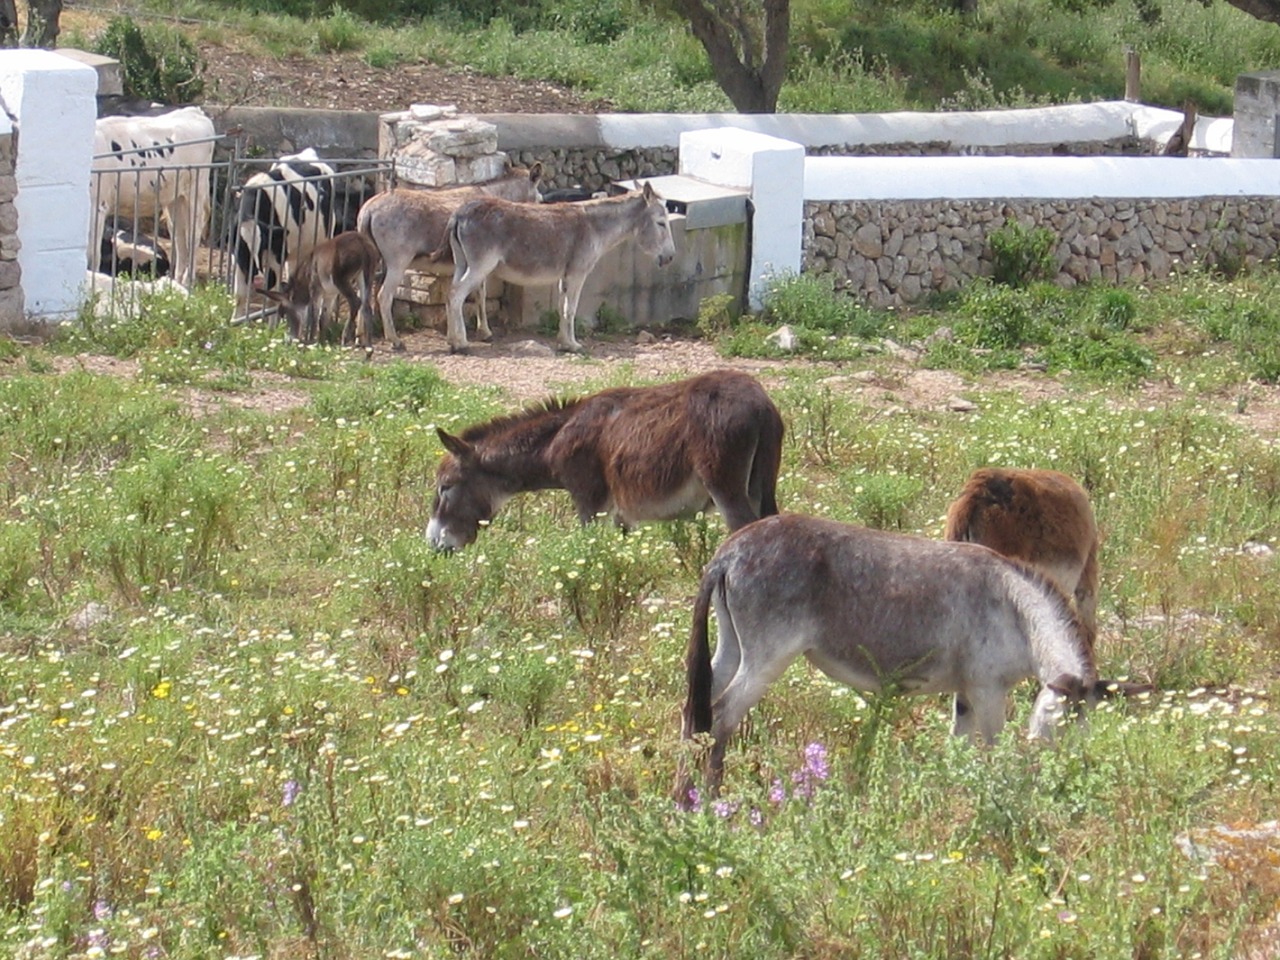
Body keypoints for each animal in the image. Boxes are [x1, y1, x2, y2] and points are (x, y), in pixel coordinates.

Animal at [90, 107, 215, 289]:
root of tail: (192, 111)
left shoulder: (98, 206)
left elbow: (93, 254)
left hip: (196, 190)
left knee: (194, 234)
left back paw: (187, 282)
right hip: (175, 198)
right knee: (179, 235)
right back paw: (176, 282)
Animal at [230, 148, 340, 323]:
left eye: (261, 246)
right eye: (241, 247)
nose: (258, 279)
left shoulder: (276, 255)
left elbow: (271, 297)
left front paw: (271, 327)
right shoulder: (238, 258)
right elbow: (239, 295)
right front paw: (234, 323)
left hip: (323, 240)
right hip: (296, 253)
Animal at [427, 371, 778, 552]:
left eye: (445, 487)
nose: (433, 544)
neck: (557, 438)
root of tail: (761, 404)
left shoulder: (588, 501)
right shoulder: (622, 516)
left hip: (724, 486)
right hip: (762, 486)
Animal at [437, 181, 680, 353]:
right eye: (661, 223)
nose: (670, 258)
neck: (595, 228)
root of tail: (460, 213)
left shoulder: (566, 275)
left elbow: (562, 307)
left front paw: (563, 342)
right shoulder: (578, 273)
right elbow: (571, 308)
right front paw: (572, 346)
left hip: (462, 263)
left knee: (450, 293)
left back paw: (452, 339)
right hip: (480, 265)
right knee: (457, 295)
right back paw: (461, 344)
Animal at [675, 514, 1136, 798]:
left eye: (1084, 731)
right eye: (1056, 727)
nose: (1062, 783)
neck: (1015, 611)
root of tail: (729, 551)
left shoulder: (967, 693)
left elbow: (959, 748)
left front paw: (956, 797)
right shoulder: (988, 689)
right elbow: (993, 749)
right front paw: (996, 796)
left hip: (732, 647)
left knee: (695, 712)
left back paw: (684, 800)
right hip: (767, 656)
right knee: (722, 714)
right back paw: (712, 801)